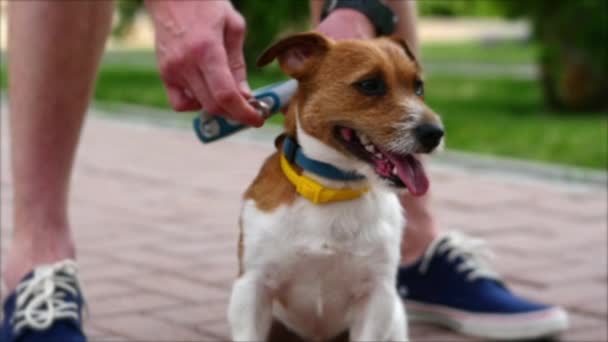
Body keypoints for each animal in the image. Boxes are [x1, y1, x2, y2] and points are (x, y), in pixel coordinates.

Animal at [228, 32, 442, 342]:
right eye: (370, 85)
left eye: (418, 87)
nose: (435, 134)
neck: (331, 189)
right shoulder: (251, 288)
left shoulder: (377, 296)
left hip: (395, 317)